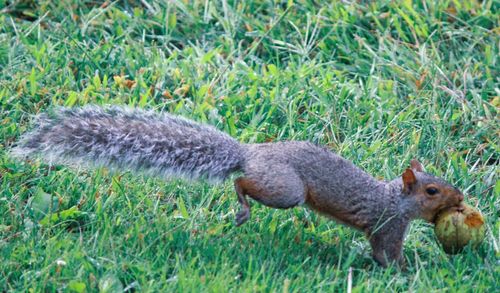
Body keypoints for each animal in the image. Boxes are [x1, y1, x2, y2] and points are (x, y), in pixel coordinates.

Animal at [11, 105, 464, 266]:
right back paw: (242, 206)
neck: (395, 198)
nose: (461, 199)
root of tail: (249, 153)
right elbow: (385, 254)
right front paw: (407, 271)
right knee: (242, 182)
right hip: (286, 192)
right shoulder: (388, 226)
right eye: (431, 191)